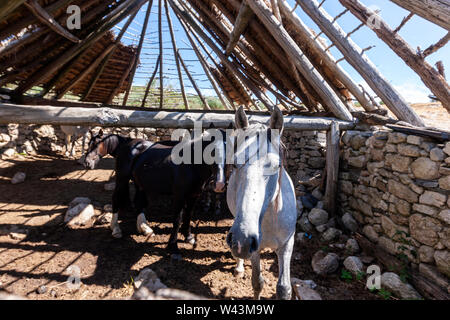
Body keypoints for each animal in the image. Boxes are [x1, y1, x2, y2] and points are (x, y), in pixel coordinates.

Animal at [83, 129, 227, 258]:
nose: (87, 162)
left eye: (228, 152)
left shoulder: (194, 195)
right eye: (211, 152)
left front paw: (189, 237)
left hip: (139, 182)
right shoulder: (179, 196)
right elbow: (177, 219)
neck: (190, 165)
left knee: (139, 202)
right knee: (116, 199)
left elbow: (188, 215)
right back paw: (116, 229)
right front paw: (173, 247)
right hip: (122, 179)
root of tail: (127, 143)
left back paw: (144, 228)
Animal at [225, 106, 298, 298]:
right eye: (234, 164)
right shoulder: (254, 249)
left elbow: (284, 289)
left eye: (276, 166)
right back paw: (239, 267)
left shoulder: (287, 245)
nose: (241, 240)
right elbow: (257, 283)